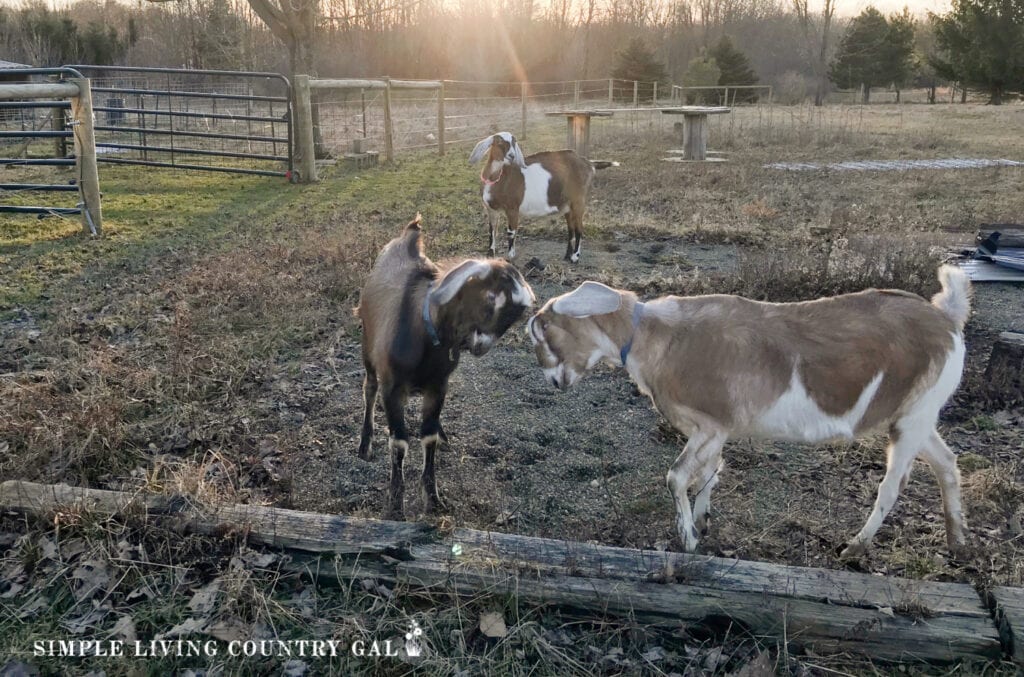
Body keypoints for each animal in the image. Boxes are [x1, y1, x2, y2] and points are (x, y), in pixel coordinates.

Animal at [356, 215, 536, 518]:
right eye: (490, 298)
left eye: (513, 317)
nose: (480, 346)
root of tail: (407, 236)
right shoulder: (392, 388)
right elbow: (399, 442)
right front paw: (396, 502)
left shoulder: (438, 386)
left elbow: (428, 437)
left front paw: (432, 497)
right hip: (368, 345)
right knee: (368, 389)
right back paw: (365, 444)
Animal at [468, 130, 618, 262]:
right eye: (498, 141)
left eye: (514, 142)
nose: (511, 156)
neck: (498, 178)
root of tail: (589, 163)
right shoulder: (491, 209)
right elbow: (491, 231)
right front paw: (490, 255)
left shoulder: (512, 208)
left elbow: (511, 232)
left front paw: (510, 258)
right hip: (567, 205)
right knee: (571, 229)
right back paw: (567, 256)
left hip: (578, 201)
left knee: (579, 228)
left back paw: (575, 257)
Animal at [532, 266, 970, 557]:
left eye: (545, 332)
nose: (552, 381)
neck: (655, 336)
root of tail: (946, 318)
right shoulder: (717, 431)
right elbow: (708, 474)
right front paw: (703, 521)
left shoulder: (709, 426)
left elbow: (677, 477)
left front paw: (688, 538)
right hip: (914, 415)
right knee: (947, 463)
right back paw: (957, 541)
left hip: (912, 420)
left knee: (894, 484)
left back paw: (855, 547)